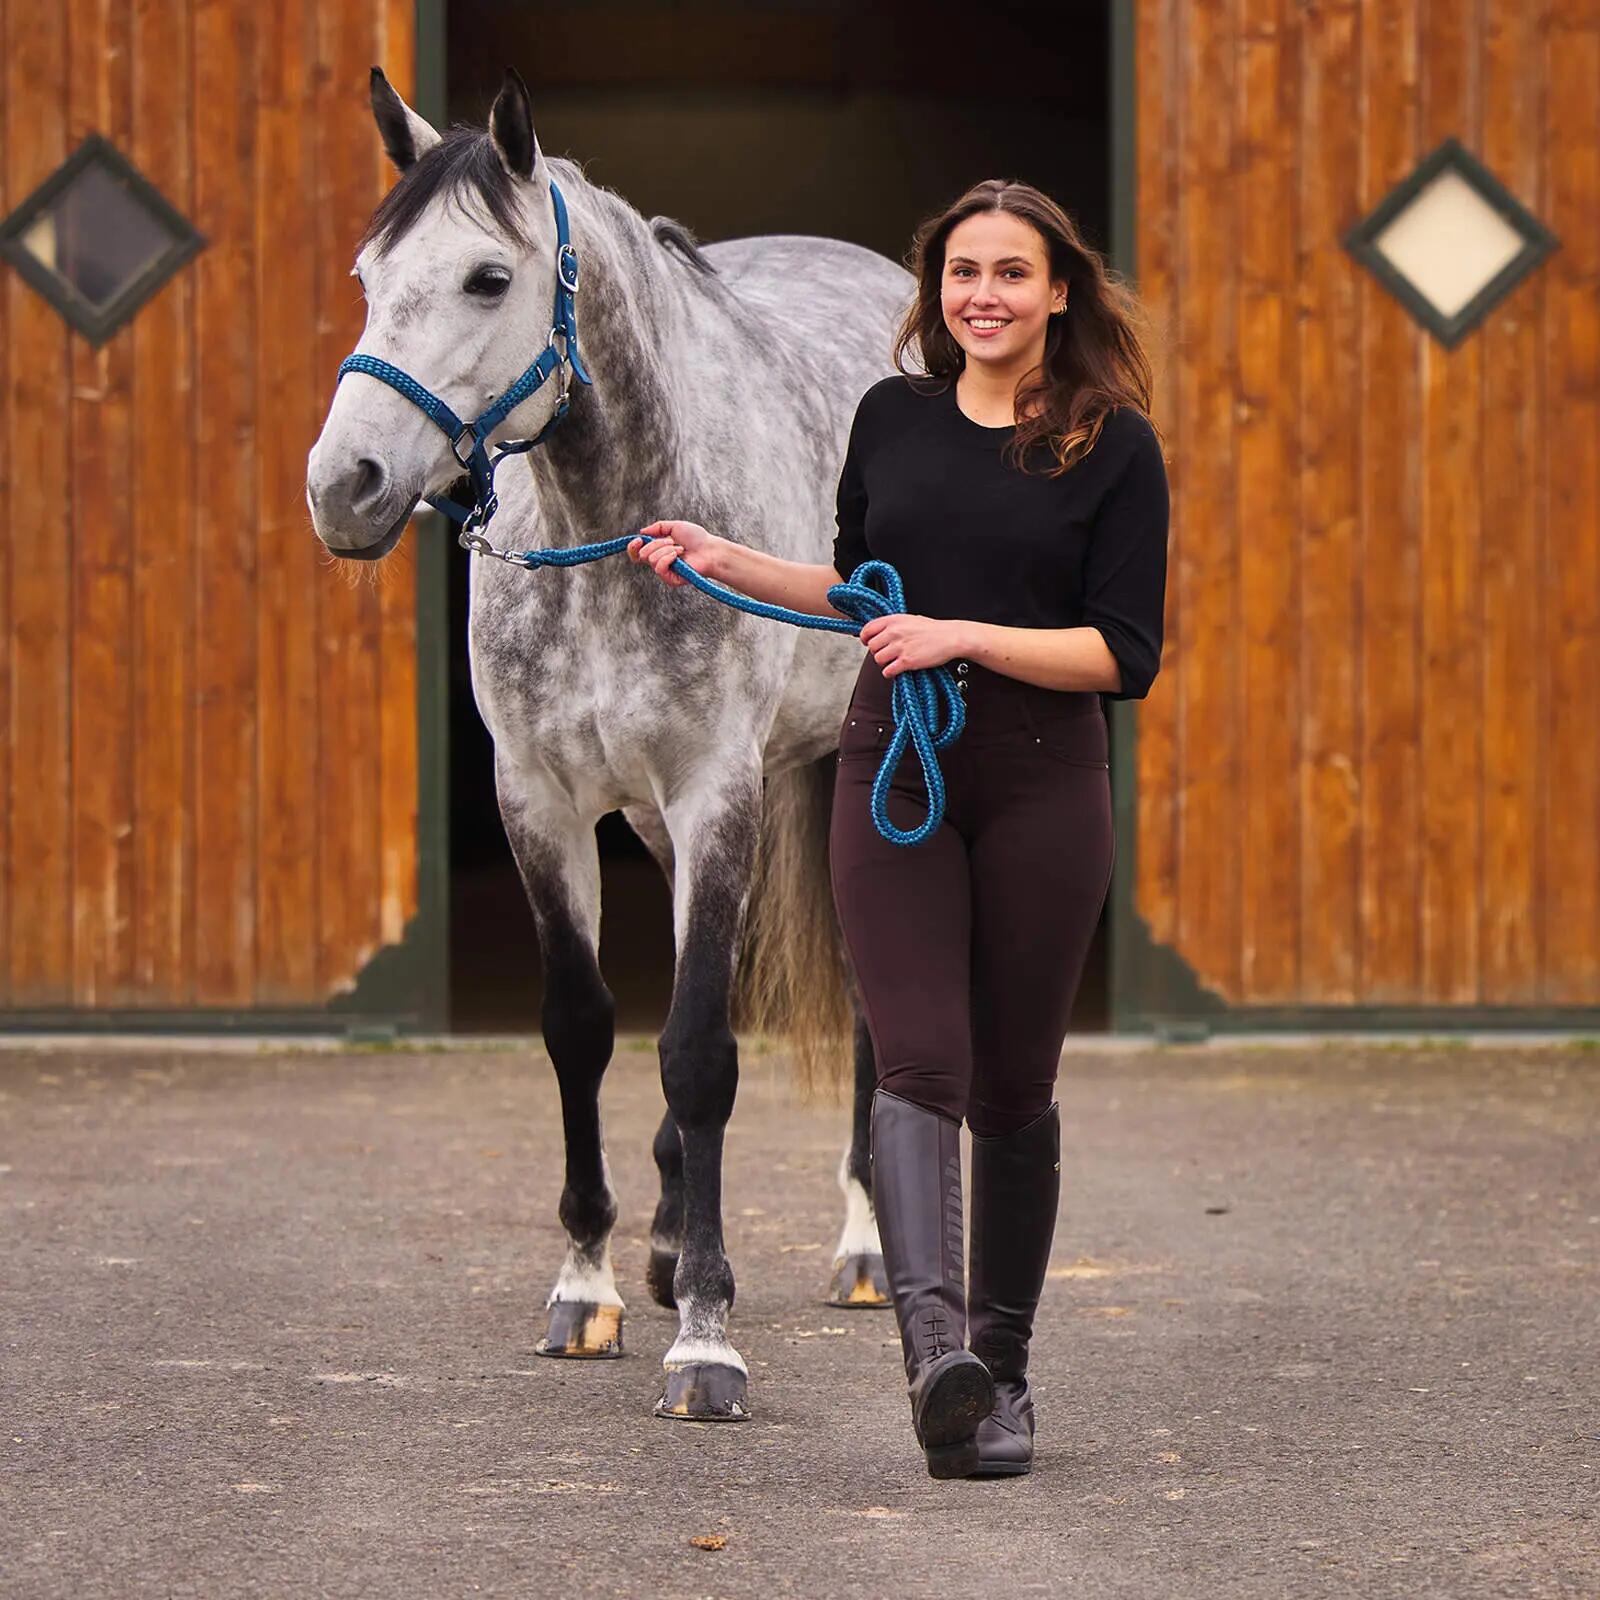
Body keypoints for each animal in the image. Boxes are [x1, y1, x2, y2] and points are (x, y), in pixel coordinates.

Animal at [306, 66, 915, 1421]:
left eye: (488, 277)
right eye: (369, 274)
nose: (342, 485)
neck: (608, 523)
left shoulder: (715, 794)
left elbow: (697, 1050)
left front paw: (706, 1338)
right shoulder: (542, 800)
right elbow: (583, 1027)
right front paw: (588, 1284)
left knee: (862, 986)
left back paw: (860, 1245)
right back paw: (671, 1232)